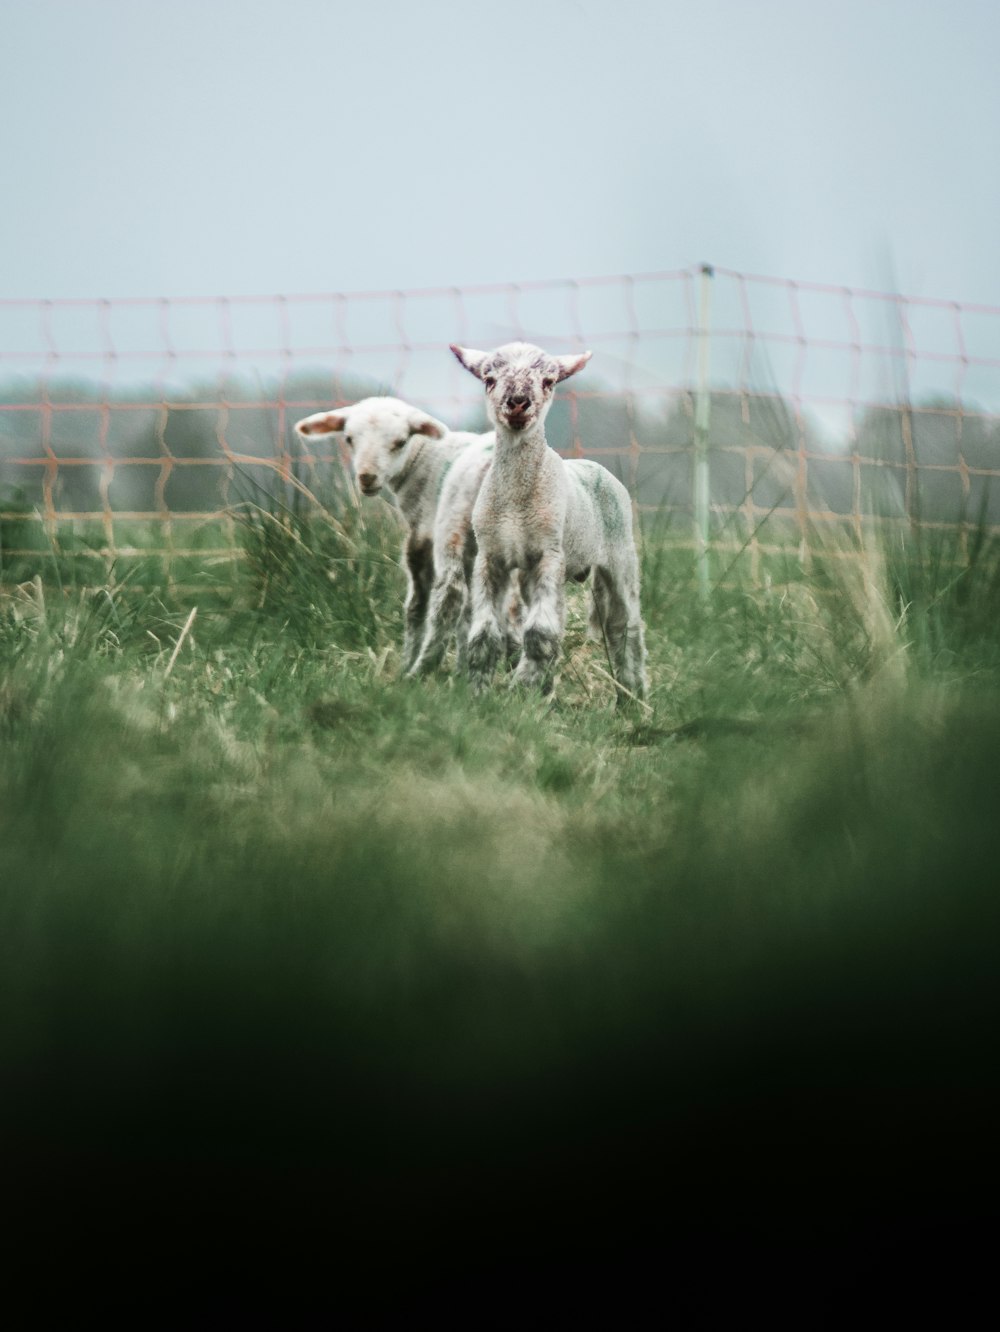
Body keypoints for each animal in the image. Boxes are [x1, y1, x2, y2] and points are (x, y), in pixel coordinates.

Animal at [292, 391, 498, 666]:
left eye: (400, 442)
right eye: (349, 439)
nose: (367, 477)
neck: (423, 459)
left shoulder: (422, 532)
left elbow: (417, 604)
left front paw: (408, 661)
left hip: (453, 522)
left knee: (450, 594)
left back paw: (421, 667)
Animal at [447, 338, 649, 703]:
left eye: (549, 381)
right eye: (489, 379)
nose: (518, 402)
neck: (515, 501)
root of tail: (594, 466)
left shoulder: (549, 553)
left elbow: (540, 633)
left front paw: (520, 689)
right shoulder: (490, 556)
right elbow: (484, 635)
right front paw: (477, 695)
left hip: (620, 556)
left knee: (624, 627)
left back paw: (632, 701)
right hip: (532, 575)